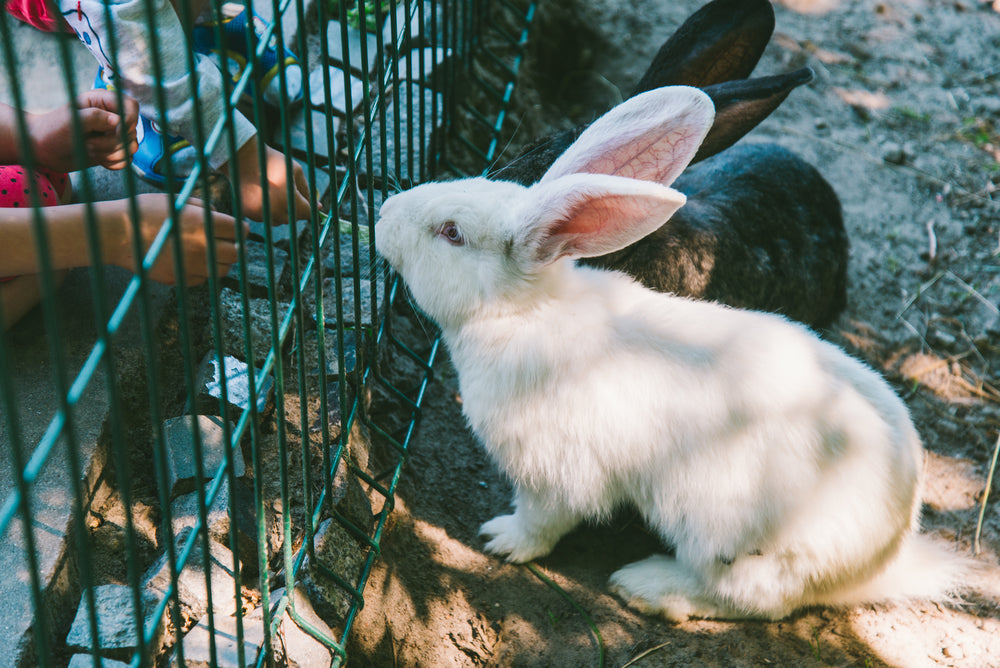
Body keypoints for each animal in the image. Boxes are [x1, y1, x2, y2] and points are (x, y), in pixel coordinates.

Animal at [375, 84, 971, 622]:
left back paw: (647, 586)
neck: (524, 312)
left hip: (726, 536)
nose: (382, 214)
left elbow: (543, 521)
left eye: (451, 233)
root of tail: (882, 556)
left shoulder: (554, 473)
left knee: (756, 600)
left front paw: (501, 541)